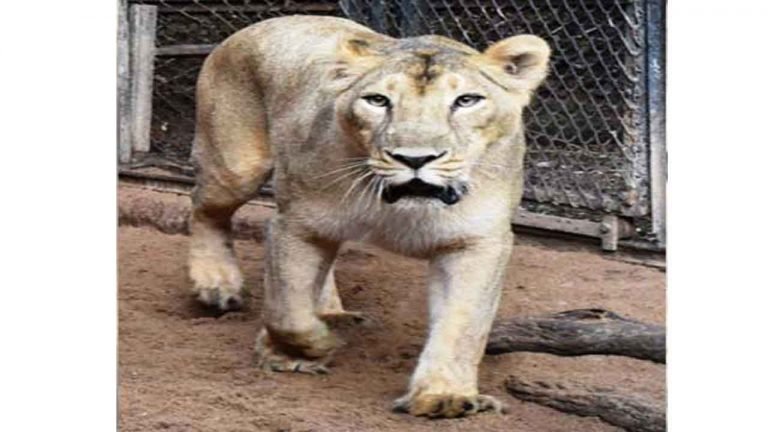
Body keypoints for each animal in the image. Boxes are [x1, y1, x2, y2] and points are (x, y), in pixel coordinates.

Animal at [187, 15, 550, 418]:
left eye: (466, 100)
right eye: (378, 100)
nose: (415, 158)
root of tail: (267, 22)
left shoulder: (476, 243)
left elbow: (462, 325)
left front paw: (444, 395)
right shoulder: (296, 225)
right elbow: (287, 310)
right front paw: (307, 350)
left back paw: (332, 313)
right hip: (237, 167)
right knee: (203, 208)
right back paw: (218, 285)